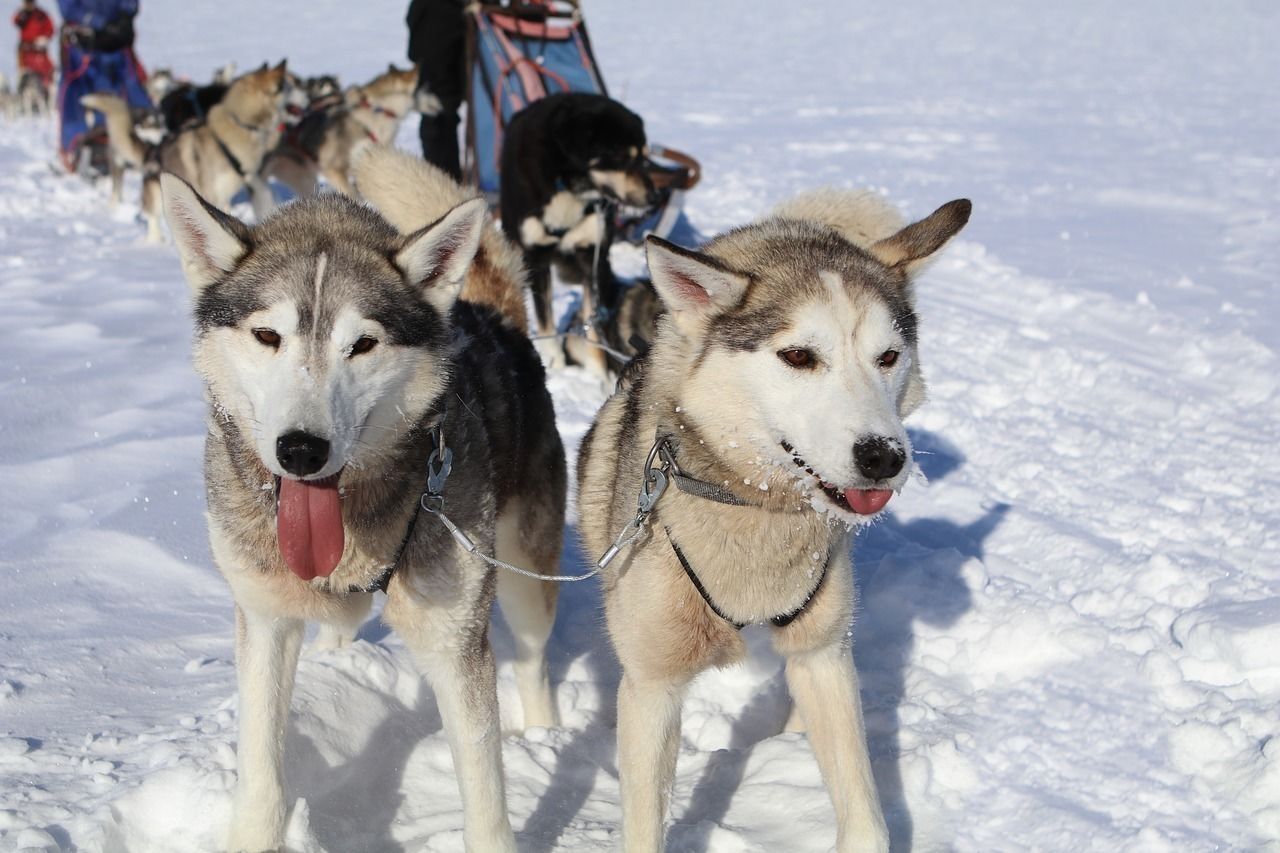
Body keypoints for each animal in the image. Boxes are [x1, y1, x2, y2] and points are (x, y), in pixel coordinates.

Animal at [160, 142, 560, 845]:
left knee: (535, 661)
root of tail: (494, 316)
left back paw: (540, 737)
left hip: (519, 574)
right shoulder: (265, 618)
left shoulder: (454, 643)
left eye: (363, 343)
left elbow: (484, 796)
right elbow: (261, 771)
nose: (301, 449)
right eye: (268, 336)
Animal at [499, 92, 660, 371]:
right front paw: (554, 361)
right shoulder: (537, 257)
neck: (567, 186)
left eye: (643, 158)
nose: (654, 197)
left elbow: (592, 322)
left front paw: (598, 369)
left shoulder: (591, 253)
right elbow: (545, 321)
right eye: (622, 158)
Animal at [578, 189, 967, 845]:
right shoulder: (654, 687)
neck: (755, 508)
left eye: (888, 357)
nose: (884, 457)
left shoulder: (823, 657)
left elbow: (866, 820)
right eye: (798, 356)